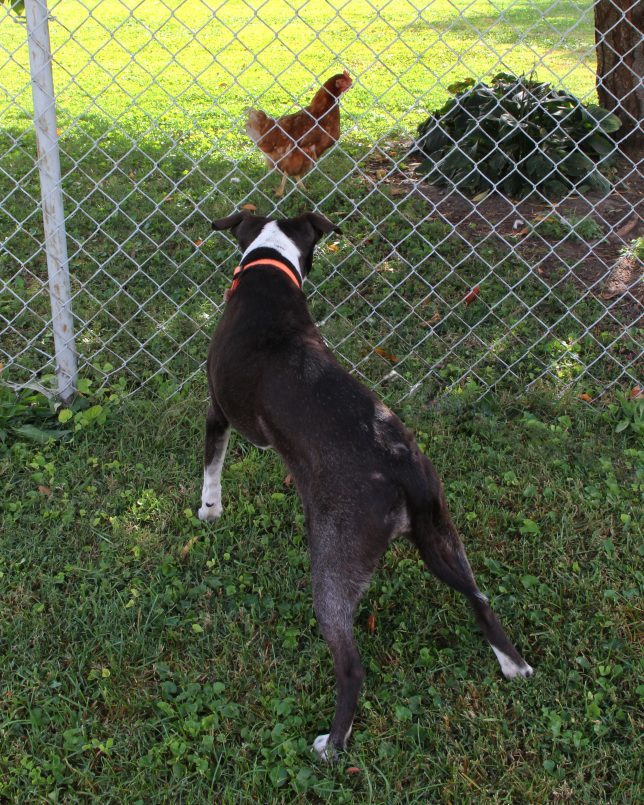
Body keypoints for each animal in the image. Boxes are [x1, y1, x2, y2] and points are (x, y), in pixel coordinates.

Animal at [199, 209, 532, 760]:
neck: (268, 275)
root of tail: (400, 465)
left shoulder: (217, 410)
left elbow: (211, 467)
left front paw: (209, 511)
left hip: (335, 563)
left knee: (351, 666)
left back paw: (331, 745)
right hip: (441, 534)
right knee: (480, 598)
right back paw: (514, 664)